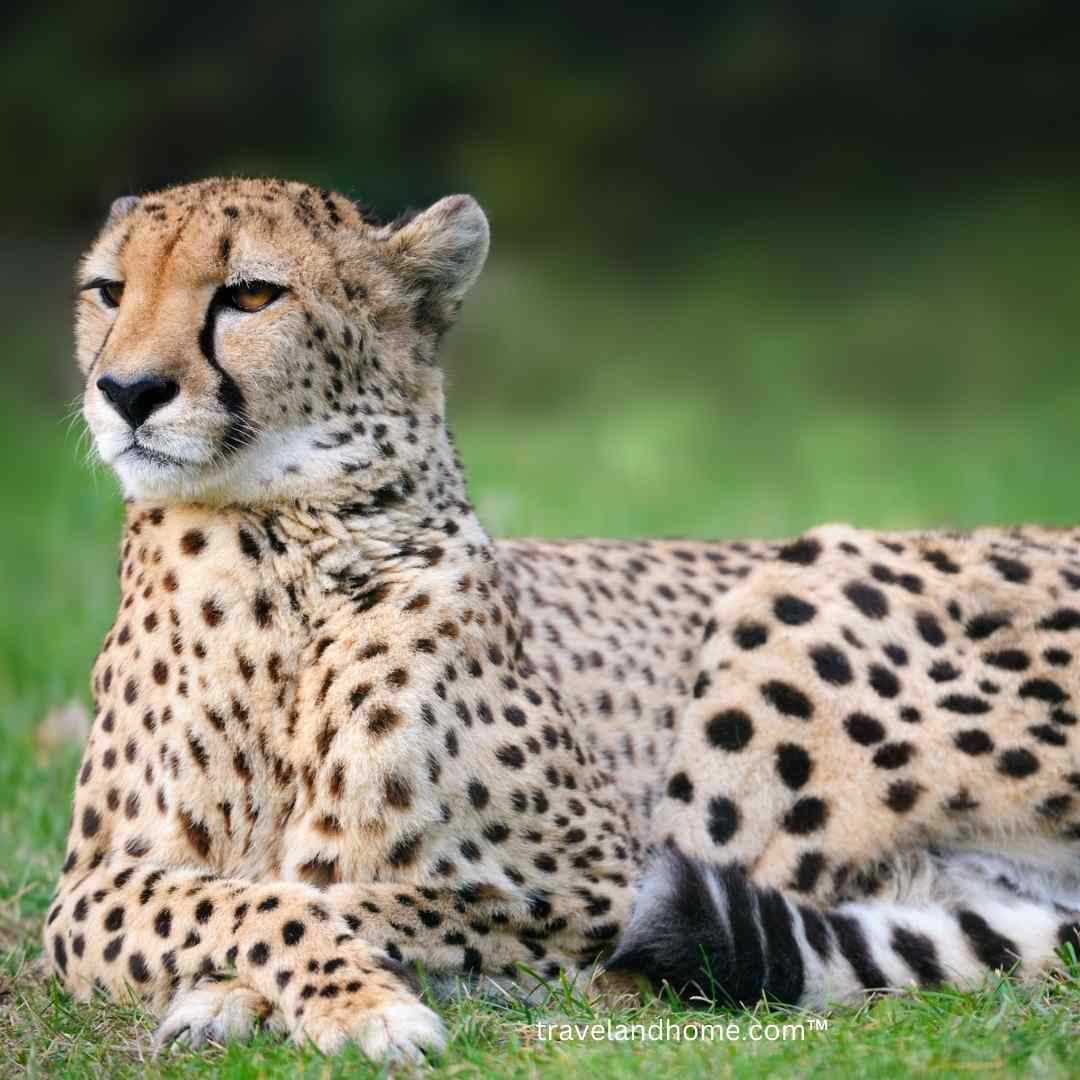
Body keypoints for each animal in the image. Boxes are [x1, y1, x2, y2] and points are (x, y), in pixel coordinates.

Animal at [43, 176, 1080, 1063]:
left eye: (251, 295)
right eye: (108, 291)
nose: (127, 392)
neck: (280, 539)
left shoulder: (607, 880)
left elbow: (342, 894)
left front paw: (339, 998)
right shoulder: (84, 891)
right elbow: (247, 899)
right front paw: (318, 997)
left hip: (793, 598)